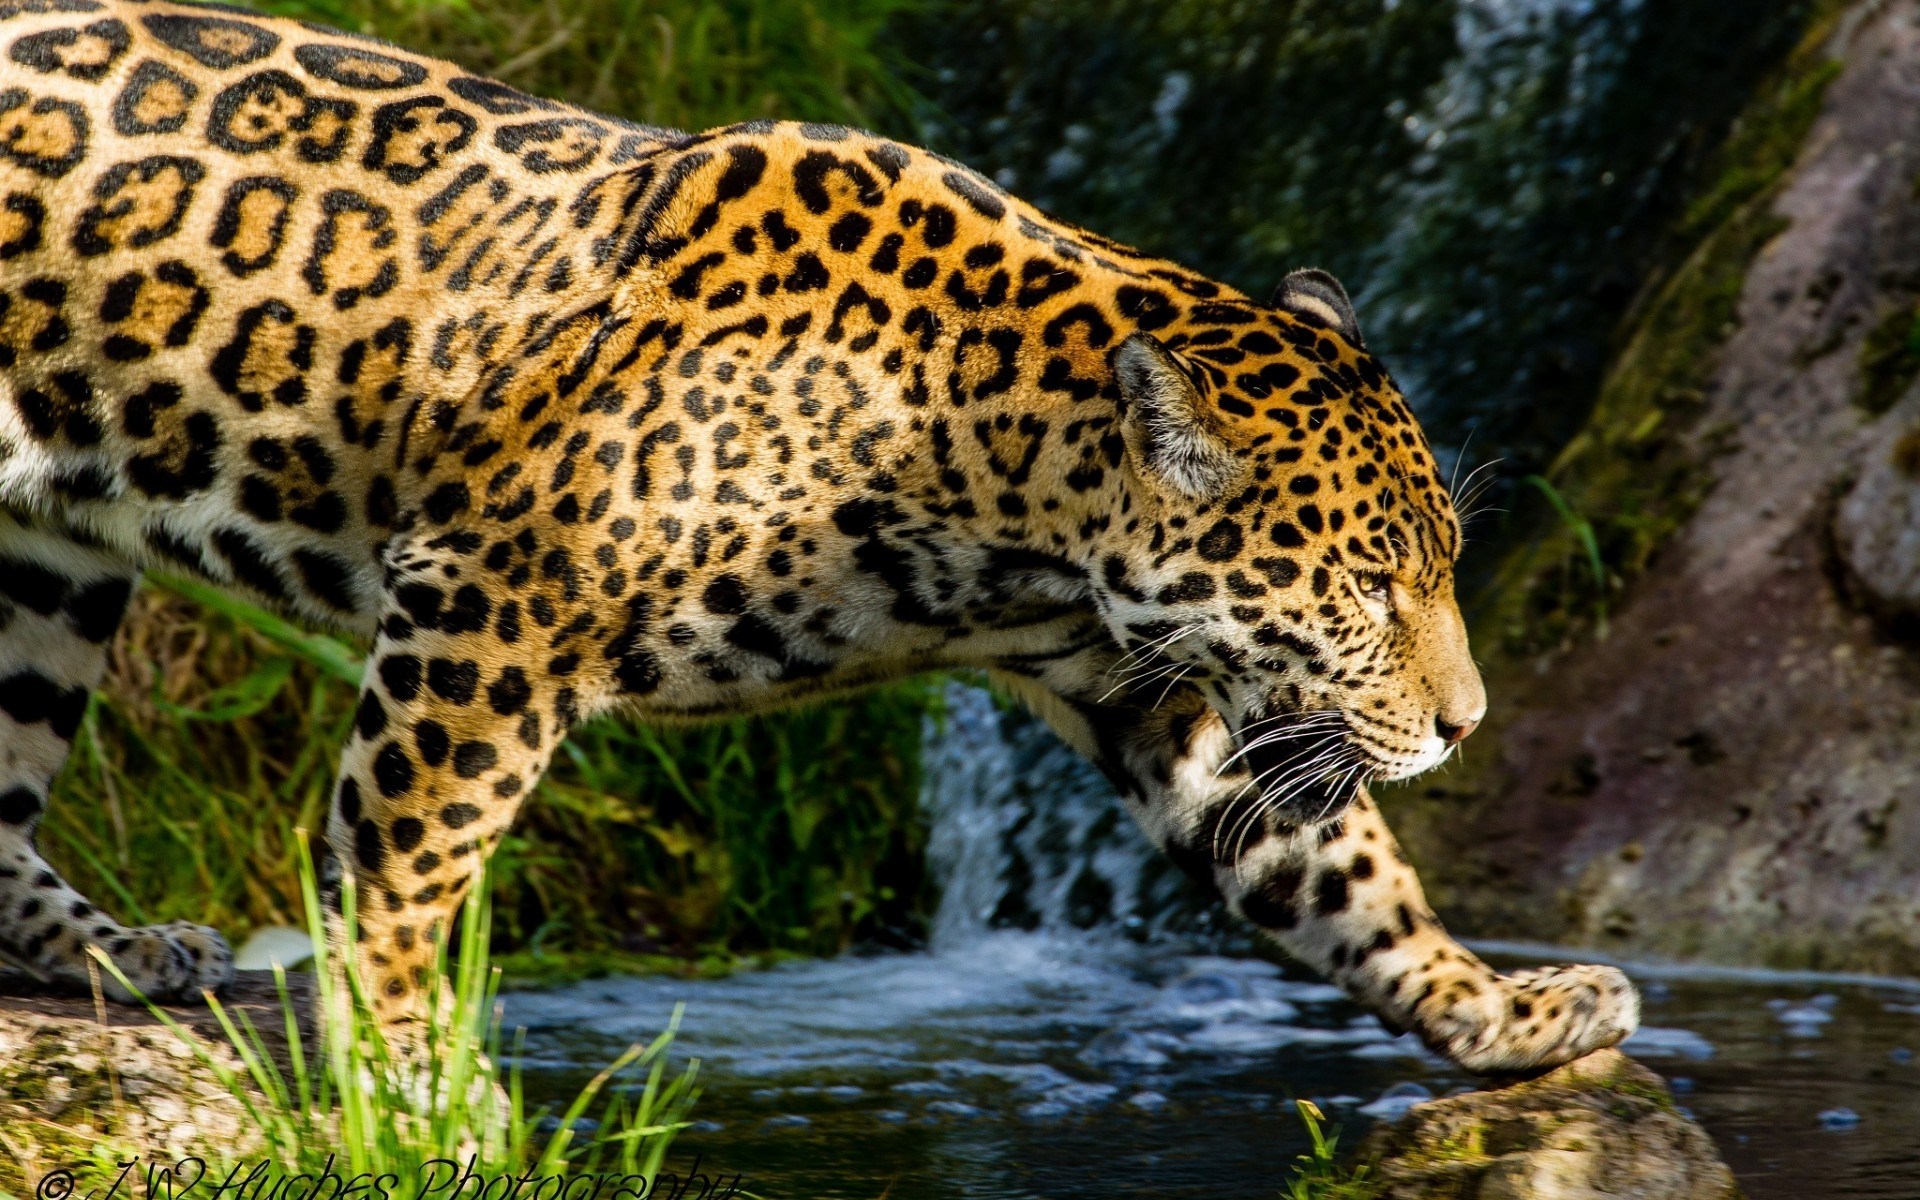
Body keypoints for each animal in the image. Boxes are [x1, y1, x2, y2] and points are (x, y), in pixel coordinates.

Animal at [0, 0, 1638, 1076]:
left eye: (1440, 571)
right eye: (1367, 587)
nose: (1467, 724)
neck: (1004, 485)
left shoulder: (1158, 700)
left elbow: (1347, 881)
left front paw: (1508, 1013)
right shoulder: (486, 605)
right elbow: (405, 871)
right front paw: (406, 1080)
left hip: (45, 573)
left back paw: (109, 951)